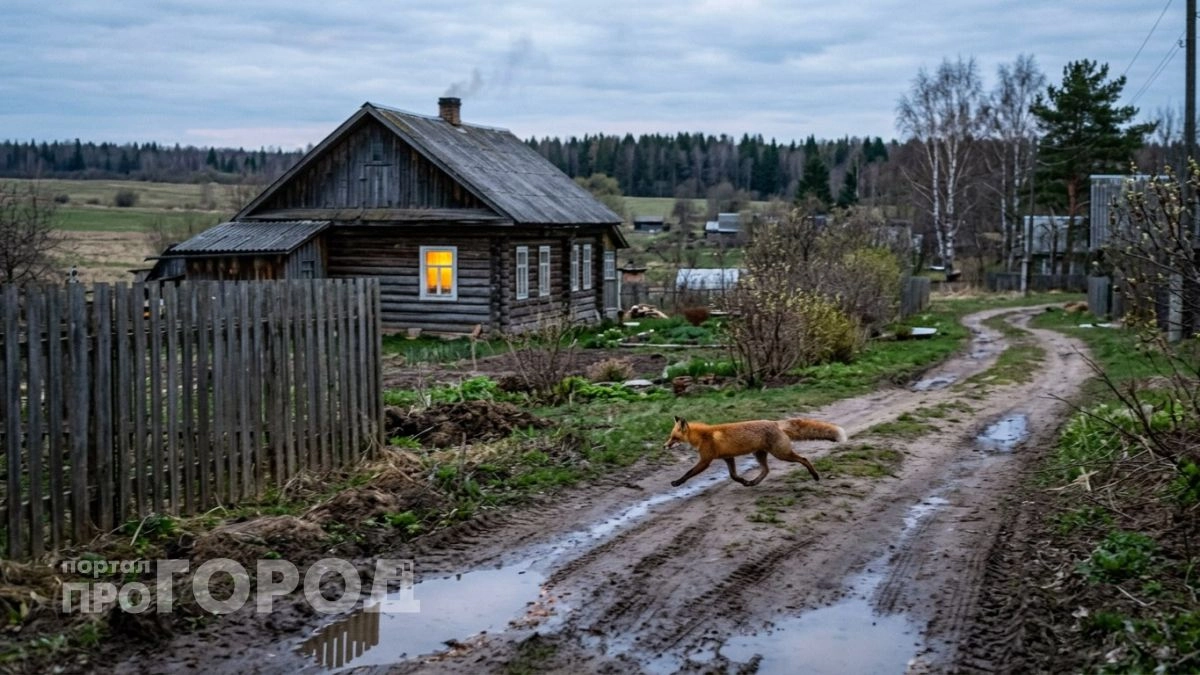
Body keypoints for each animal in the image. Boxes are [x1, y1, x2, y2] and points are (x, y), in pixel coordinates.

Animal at [663, 416, 846, 487]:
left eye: (674, 438)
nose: (664, 446)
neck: (702, 436)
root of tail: (775, 423)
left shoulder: (705, 460)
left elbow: (688, 472)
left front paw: (677, 482)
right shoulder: (728, 458)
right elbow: (733, 476)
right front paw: (743, 480)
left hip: (782, 454)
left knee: (804, 459)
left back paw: (815, 476)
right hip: (759, 454)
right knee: (766, 470)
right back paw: (753, 482)